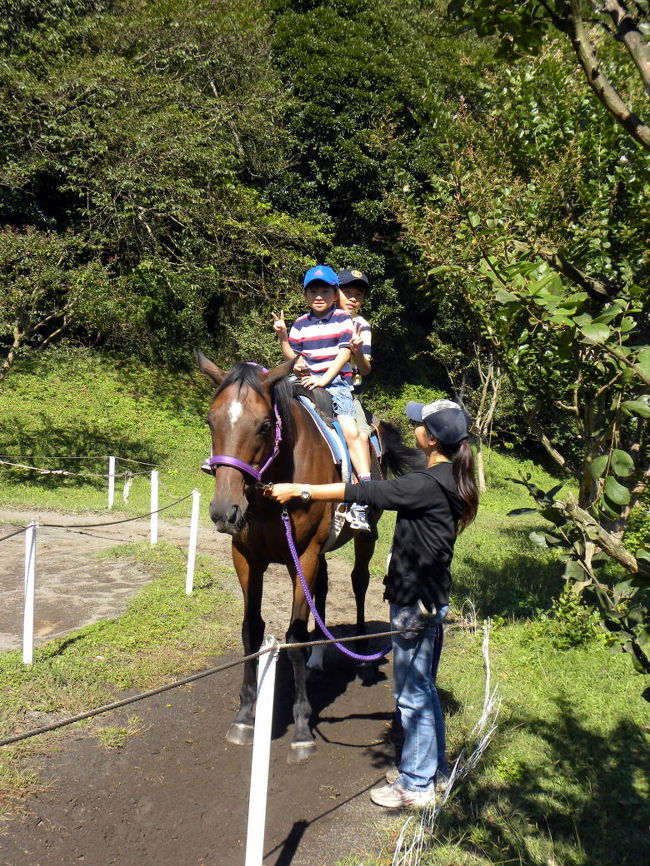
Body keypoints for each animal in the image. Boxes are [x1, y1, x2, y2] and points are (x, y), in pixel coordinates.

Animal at [197, 350, 420, 756]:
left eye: (264, 425)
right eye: (211, 421)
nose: (225, 511)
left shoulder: (304, 555)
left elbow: (296, 634)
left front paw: (302, 728)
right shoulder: (247, 558)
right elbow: (252, 630)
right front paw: (245, 715)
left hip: (364, 538)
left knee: (359, 583)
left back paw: (361, 655)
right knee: (324, 589)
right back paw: (319, 657)